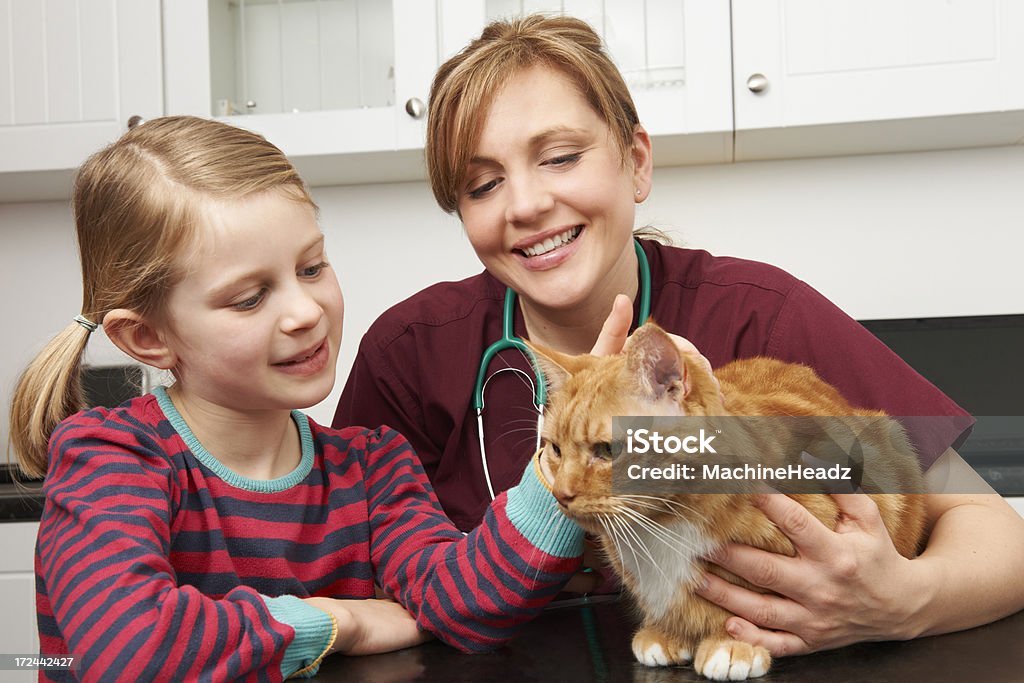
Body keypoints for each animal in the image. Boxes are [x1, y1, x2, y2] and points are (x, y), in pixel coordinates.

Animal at [528, 323, 929, 679]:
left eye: (607, 450)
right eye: (556, 450)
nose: (561, 494)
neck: (662, 526)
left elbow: (748, 606)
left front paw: (732, 644)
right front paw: (666, 632)